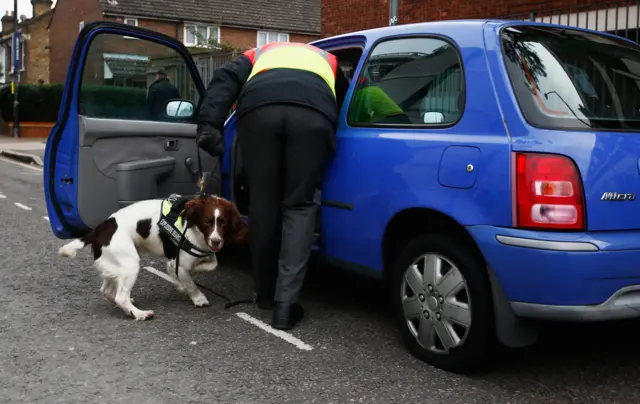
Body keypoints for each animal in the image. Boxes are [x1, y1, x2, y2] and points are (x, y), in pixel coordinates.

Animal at [57, 196, 248, 322]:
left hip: (114, 264)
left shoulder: (202, 253)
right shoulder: (181, 263)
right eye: (207, 222)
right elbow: (190, 281)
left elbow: (211, 263)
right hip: (131, 263)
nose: (216, 241)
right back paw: (140, 314)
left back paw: (130, 308)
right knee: (120, 296)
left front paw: (178, 281)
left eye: (223, 223)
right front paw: (198, 298)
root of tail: (98, 230)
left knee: (107, 291)